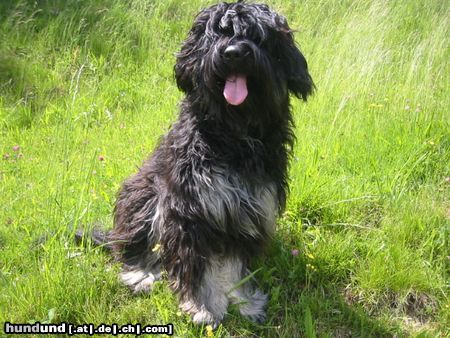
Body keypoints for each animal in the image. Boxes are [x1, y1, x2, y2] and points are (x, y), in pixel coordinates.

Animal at [109, 0, 312, 328]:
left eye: (257, 36)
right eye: (217, 33)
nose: (233, 53)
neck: (235, 135)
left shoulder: (248, 209)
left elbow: (235, 266)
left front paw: (245, 301)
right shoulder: (191, 211)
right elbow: (197, 267)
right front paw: (203, 307)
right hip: (144, 196)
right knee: (137, 246)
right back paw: (141, 273)